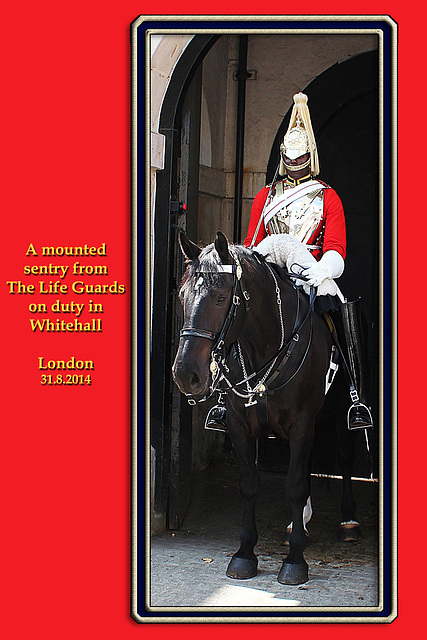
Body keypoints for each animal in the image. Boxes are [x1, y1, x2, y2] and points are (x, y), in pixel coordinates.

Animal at [172, 230, 362, 584]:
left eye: (221, 297)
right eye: (182, 295)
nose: (185, 374)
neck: (265, 345)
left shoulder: (302, 423)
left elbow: (294, 486)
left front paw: (295, 561)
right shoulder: (239, 424)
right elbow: (249, 485)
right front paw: (245, 554)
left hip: (342, 415)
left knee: (343, 457)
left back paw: (348, 521)